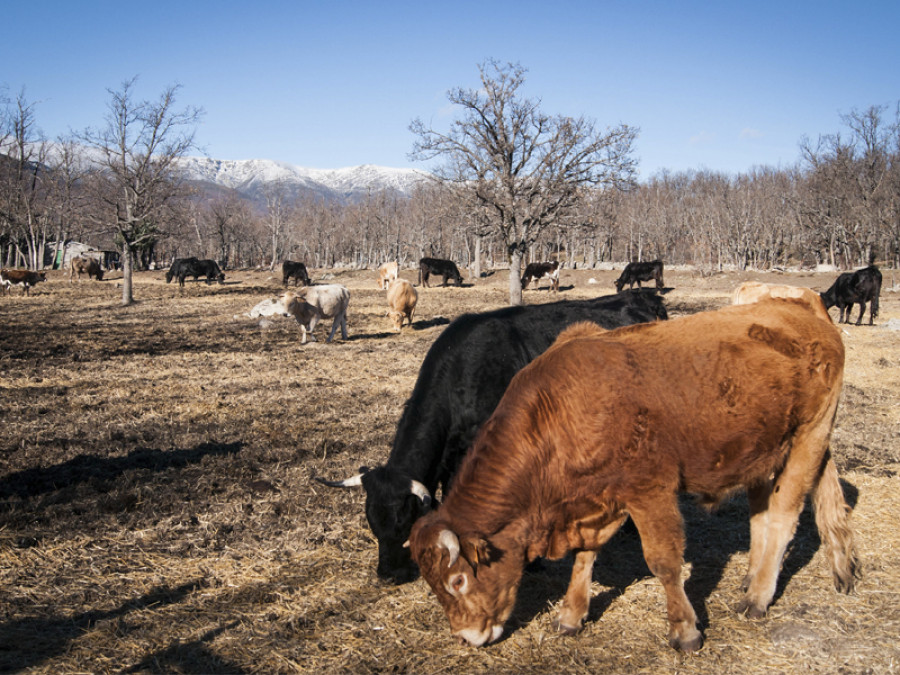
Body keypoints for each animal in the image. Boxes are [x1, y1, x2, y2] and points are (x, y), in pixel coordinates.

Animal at [410, 298, 856, 652]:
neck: (560, 409)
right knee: (772, 509)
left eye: (457, 582)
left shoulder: (650, 492)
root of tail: (802, 308)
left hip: (809, 436)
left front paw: (685, 631)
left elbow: (664, 562)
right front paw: (571, 616)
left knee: (782, 515)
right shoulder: (596, 499)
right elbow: (584, 555)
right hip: (768, 449)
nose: (467, 636)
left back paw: (759, 596)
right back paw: (797, 573)